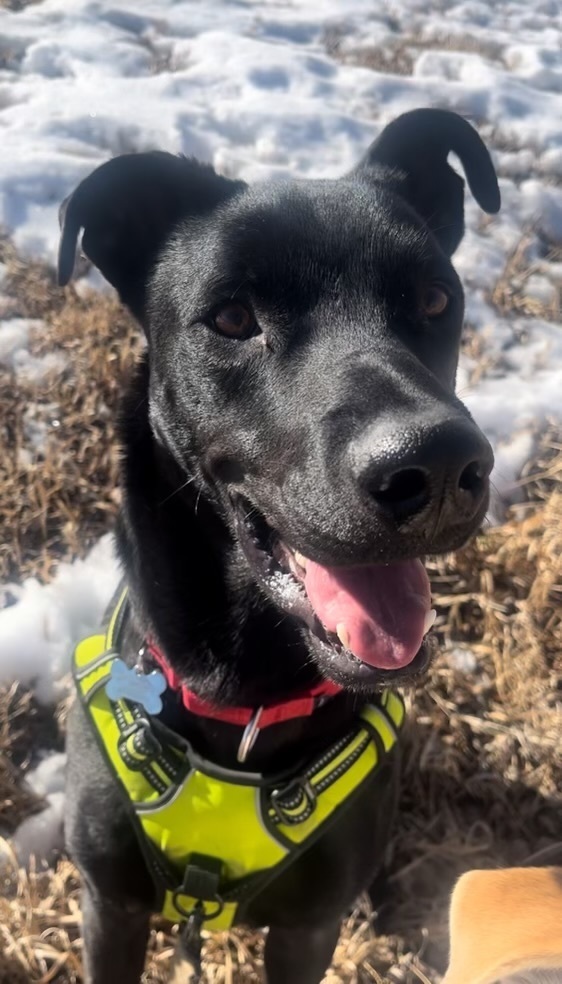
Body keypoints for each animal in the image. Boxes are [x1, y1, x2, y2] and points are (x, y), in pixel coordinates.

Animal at [59, 109, 498, 984]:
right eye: (232, 318)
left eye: (435, 299)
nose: (437, 468)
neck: (244, 706)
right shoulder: (109, 908)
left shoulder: (308, 929)